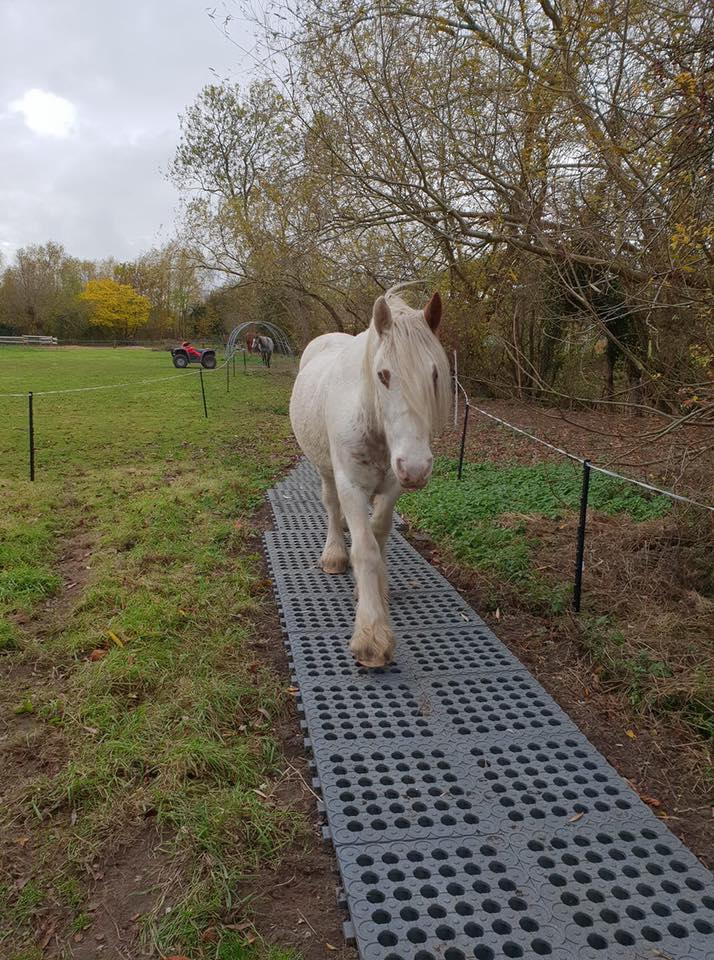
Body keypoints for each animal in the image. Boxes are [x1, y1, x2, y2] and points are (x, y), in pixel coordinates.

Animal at [288, 288, 444, 668]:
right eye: (384, 375)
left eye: (434, 374)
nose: (417, 468)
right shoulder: (352, 485)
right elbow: (365, 549)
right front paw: (372, 635)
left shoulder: (392, 486)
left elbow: (379, 534)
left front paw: (377, 589)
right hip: (327, 470)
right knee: (331, 507)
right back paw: (334, 553)